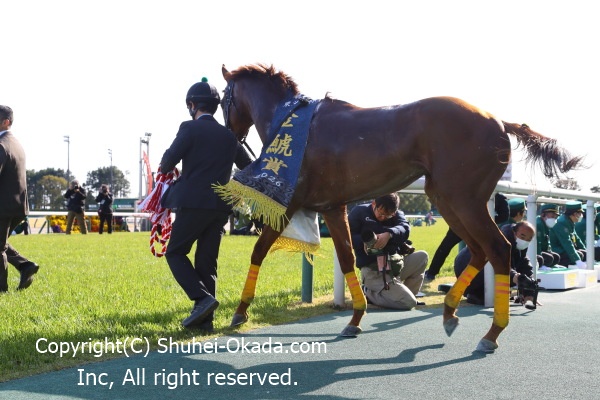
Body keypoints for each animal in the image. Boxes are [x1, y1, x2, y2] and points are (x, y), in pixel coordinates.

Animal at [219, 63, 582, 352]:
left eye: (223, 98)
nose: (230, 134)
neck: (293, 123)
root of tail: (499, 122)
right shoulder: (333, 207)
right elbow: (348, 257)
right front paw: (355, 317)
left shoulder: (289, 202)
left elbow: (259, 250)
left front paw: (240, 311)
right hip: (447, 199)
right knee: (479, 250)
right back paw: (450, 311)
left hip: (462, 199)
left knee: (497, 247)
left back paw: (491, 334)